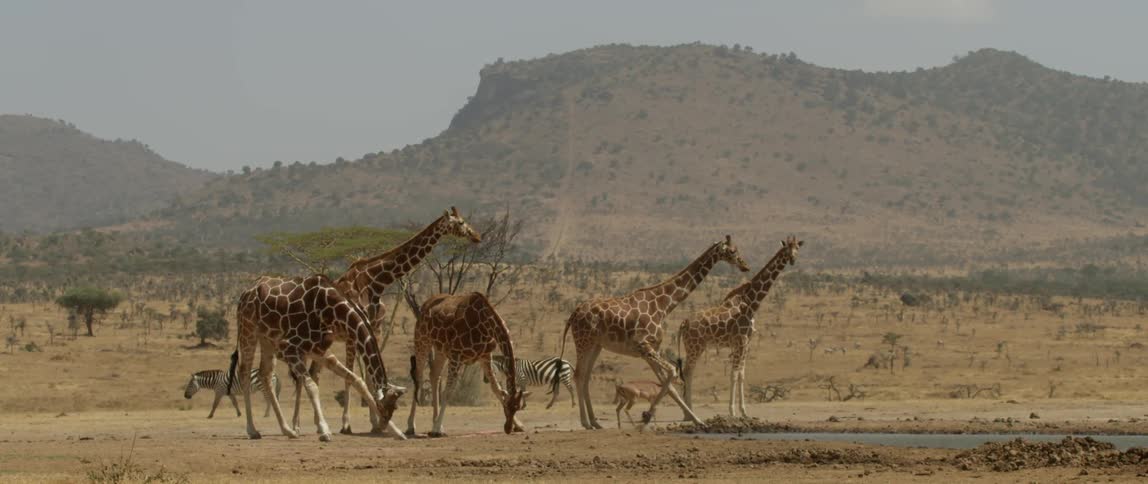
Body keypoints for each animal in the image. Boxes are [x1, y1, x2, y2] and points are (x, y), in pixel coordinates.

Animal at [231, 275, 407, 442]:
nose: (382, 425)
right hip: (248, 330)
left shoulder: (319, 351)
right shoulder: (288, 347)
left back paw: (288, 431)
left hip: (266, 339)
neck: (332, 309)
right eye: (383, 406)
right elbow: (312, 386)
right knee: (245, 372)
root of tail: (245, 293)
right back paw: (253, 430)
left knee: (265, 375)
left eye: (395, 408)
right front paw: (324, 430)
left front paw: (397, 432)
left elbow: (357, 380)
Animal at [286, 207, 481, 434]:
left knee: (312, 374)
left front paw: (375, 423)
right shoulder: (354, 332)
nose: (476, 236)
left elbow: (369, 377)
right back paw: (296, 425)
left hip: (324, 340)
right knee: (302, 375)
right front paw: (347, 424)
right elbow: (352, 374)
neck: (376, 281)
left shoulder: (374, 329)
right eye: (460, 223)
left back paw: (313, 425)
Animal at [405, 291, 529, 437]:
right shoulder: (456, 355)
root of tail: (425, 305)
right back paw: (411, 426)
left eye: (516, 408)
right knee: (418, 376)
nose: (508, 428)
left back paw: (436, 423)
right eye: (507, 407)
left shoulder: (485, 356)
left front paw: (519, 425)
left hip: (440, 349)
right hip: (422, 340)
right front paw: (436, 429)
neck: (485, 325)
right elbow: (448, 392)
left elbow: (497, 389)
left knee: (434, 374)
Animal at [559, 235, 750, 430]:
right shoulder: (643, 346)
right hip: (583, 340)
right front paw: (648, 416)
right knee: (579, 375)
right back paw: (585, 422)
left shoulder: (650, 350)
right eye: (733, 250)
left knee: (586, 376)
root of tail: (575, 313)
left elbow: (670, 385)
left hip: (596, 345)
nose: (745, 265)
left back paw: (595, 422)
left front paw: (696, 420)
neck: (664, 306)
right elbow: (673, 373)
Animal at [678, 236, 803, 419]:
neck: (751, 303)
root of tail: (684, 323)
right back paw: (689, 413)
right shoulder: (740, 341)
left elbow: (742, 375)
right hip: (695, 346)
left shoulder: (746, 343)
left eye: (797, 249)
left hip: (694, 347)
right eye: (787, 248)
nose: (793, 260)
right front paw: (732, 411)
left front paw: (744, 411)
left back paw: (688, 412)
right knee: (687, 372)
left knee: (687, 372)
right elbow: (734, 374)